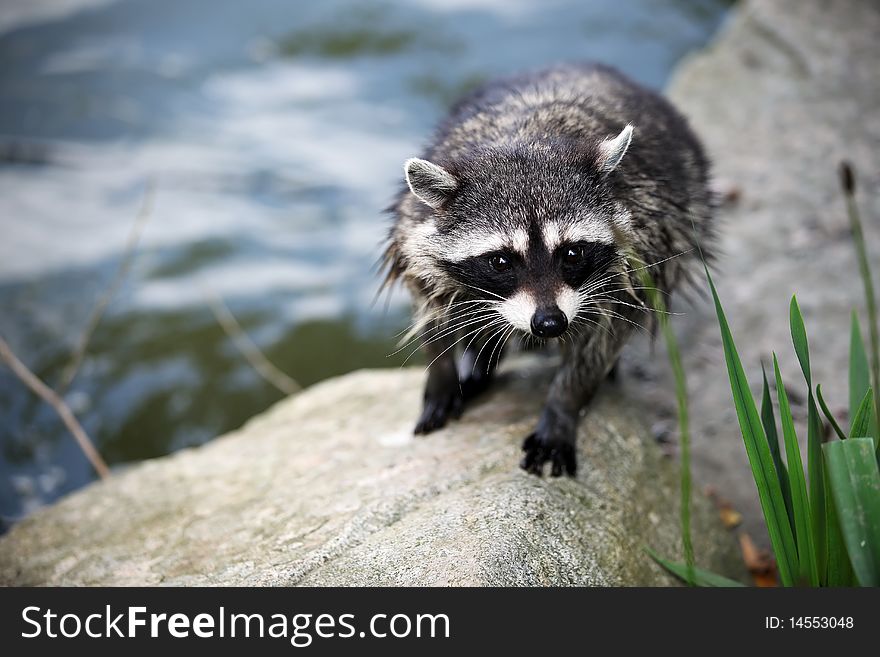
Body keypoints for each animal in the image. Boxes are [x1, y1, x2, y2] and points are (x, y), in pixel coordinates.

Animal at [382, 62, 712, 476]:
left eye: (572, 253)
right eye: (500, 260)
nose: (550, 323)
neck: (526, 139)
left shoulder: (645, 247)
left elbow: (602, 340)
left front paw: (563, 407)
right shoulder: (415, 232)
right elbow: (434, 310)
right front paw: (441, 377)